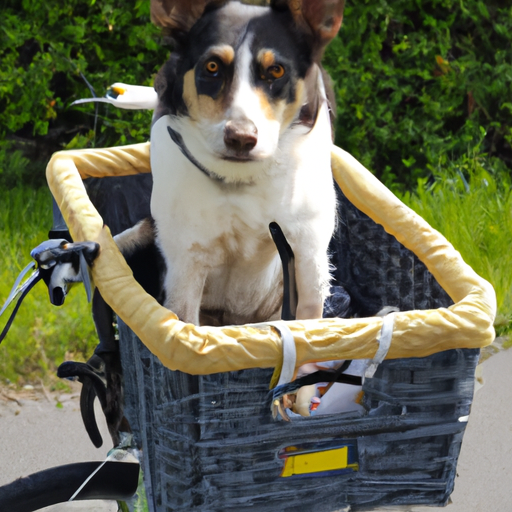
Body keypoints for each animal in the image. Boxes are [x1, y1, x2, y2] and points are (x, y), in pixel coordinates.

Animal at [118, 0, 346, 326]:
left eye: (276, 70)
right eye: (212, 67)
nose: (240, 138)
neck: (241, 180)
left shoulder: (308, 256)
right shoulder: (185, 262)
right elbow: (184, 322)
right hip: (135, 237)